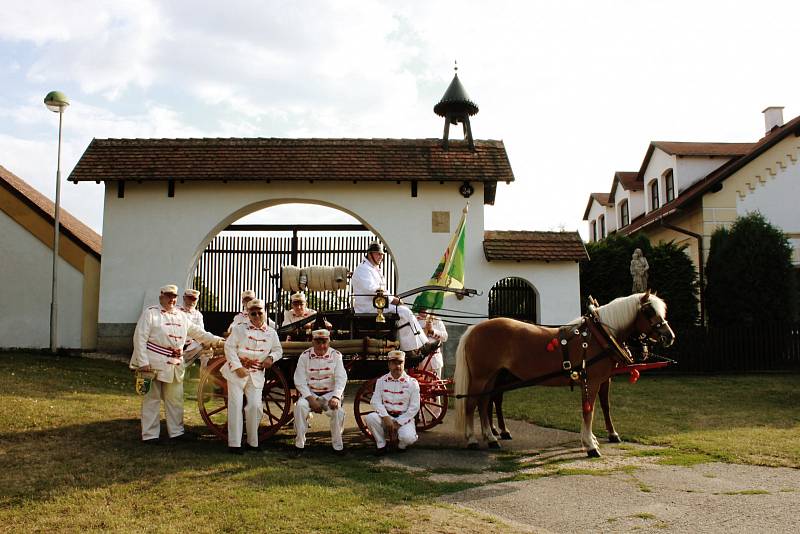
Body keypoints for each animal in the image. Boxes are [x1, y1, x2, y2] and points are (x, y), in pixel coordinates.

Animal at [454, 292, 672, 458]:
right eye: (648, 311)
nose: (669, 336)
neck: (599, 336)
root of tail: (474, 329)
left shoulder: (600, 381)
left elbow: (600, 407)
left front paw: (595, 439)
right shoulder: (592, 381)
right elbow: (589, 411)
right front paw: (590, 445)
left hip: (493, 377)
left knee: (484, 403)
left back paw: (491, 437)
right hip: (481, 377)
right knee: (472, 403)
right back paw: (472, 438)